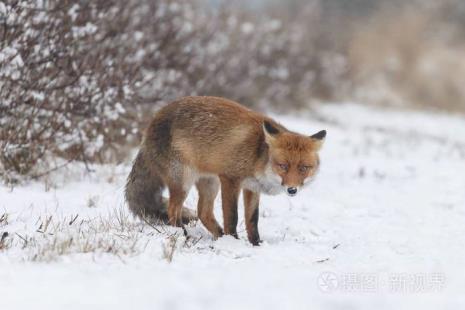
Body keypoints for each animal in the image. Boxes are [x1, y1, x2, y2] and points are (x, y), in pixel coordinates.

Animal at [125, 95, 324, 246]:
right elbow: (232, 217)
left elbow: (252, 219)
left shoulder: (251, 187)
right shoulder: (230, 179)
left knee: (203, 212)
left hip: (210, 183)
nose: (292, 189)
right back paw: (184, 235)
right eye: (283, 166)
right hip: (183, 182)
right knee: (173, 211)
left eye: (303, 168)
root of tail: (151, 124)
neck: (257, 154)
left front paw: (255, 243)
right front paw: (233, 241)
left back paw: (218, 235)